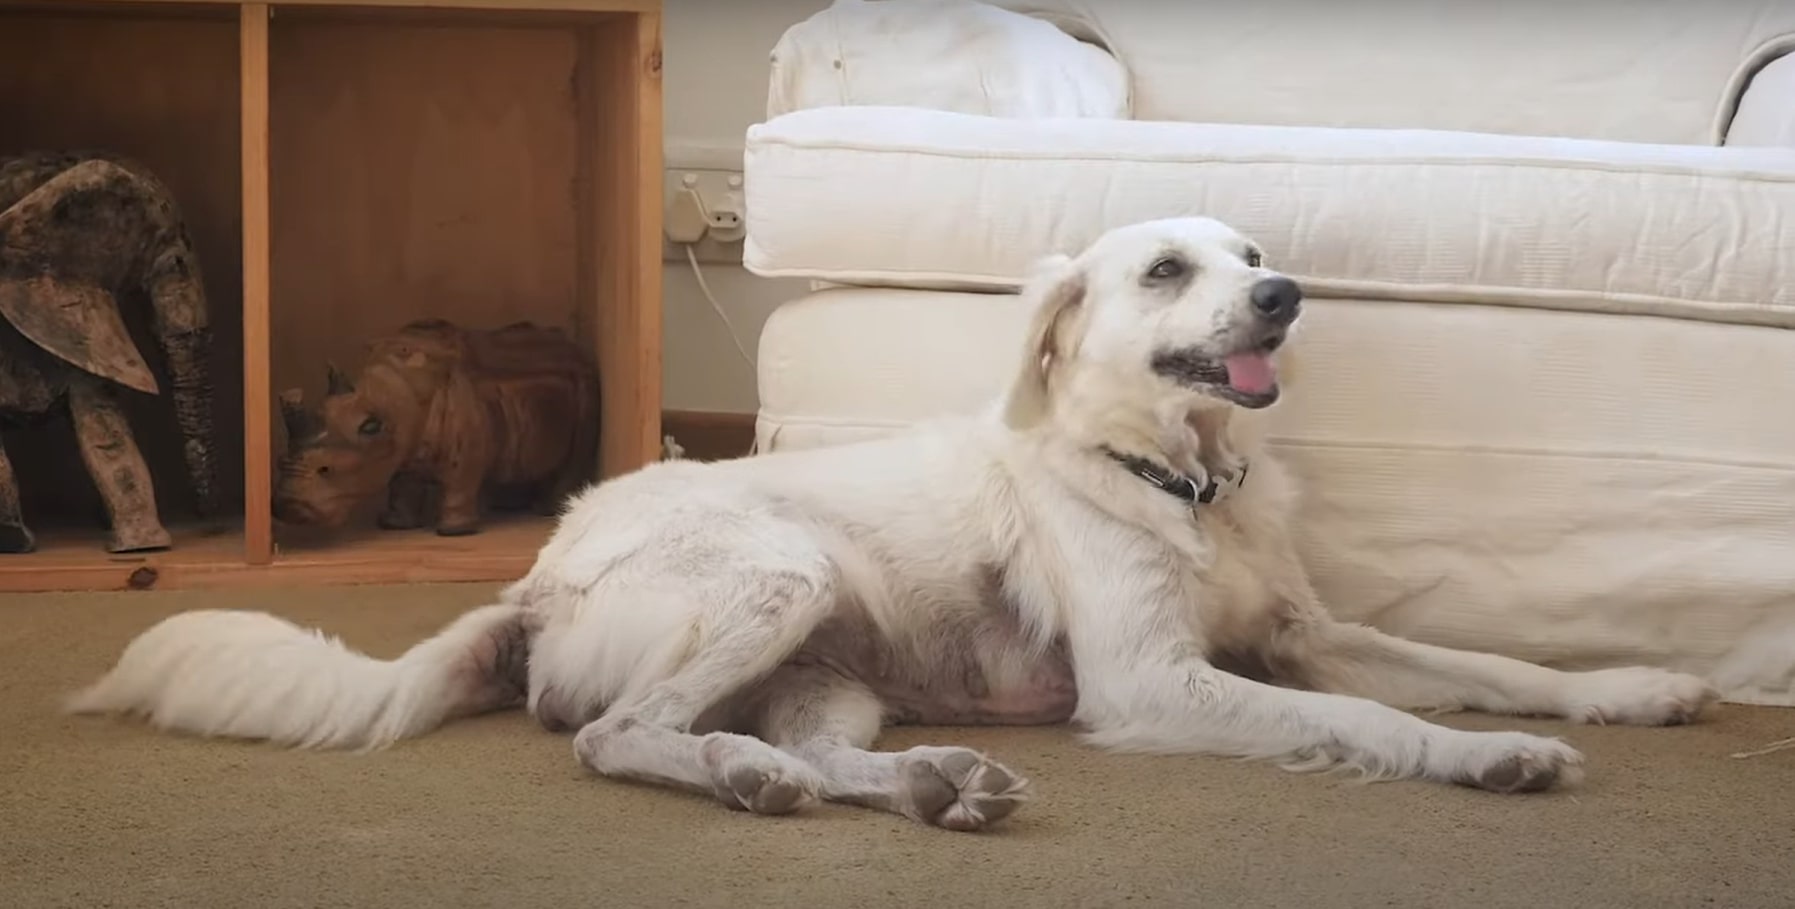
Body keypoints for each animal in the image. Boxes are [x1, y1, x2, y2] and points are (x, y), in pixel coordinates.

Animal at [70, 214, 1716, 829]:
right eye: (1168, 269)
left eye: (1252, 251)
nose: (1286, 293)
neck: (1172, 476)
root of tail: (537, 575)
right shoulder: (1160, 683)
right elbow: (1384, 722)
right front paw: (1483, 761)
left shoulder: (1304, 633)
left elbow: (1489, 662)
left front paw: (1628, 687)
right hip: (776, 581)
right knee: (614, 736)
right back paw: (754, 782)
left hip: (827, 668)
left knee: (801, 752)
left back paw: (924, 782)